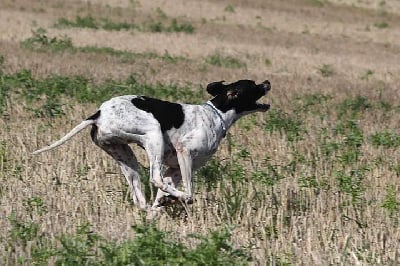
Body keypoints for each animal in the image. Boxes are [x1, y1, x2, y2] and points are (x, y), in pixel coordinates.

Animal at [33, 78, 272, 211]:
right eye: (253, 85)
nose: (267, 83)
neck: (216, 114)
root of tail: (99, 113)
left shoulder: (174, 169)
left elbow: (163, 192)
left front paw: (162, 205)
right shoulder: (184, 153)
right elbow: (187, 189)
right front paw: (179, 199)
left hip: (126, 158)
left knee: (140, 195)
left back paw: (149, 209)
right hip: (153, 134)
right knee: (155, 178)